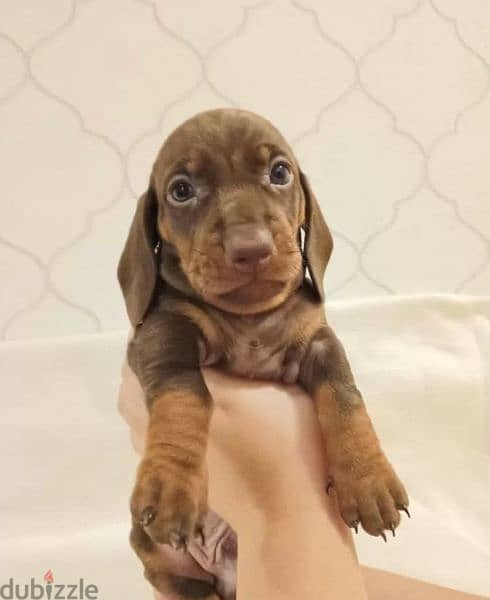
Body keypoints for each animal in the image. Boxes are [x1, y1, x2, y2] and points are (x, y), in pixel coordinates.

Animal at [117, 109, 408, 600]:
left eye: (279, 173)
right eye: (181, 190)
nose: (250, 248)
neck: (249, 318)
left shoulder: (319, 341)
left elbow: (345, 399)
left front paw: (369, 480)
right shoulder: (163, 333)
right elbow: (185, 395)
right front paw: (172, 483)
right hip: (156, 556)